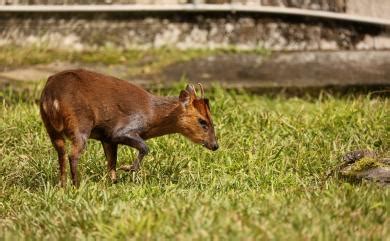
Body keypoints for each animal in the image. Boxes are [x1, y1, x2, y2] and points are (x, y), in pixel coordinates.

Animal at [40, 68, 218, 187]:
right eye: (203, 121)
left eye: (212, 120)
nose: (215, 145)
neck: (153, 114)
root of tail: (51, 96)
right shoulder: (121, 130)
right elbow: (145, 147)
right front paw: (129, 169)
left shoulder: (107, 137)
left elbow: (111, 162)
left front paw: (113, 183)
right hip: (81, 125)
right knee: (73, 155)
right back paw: (77, 185)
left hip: (51, 127)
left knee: (61, 153)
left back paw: (62, 185)